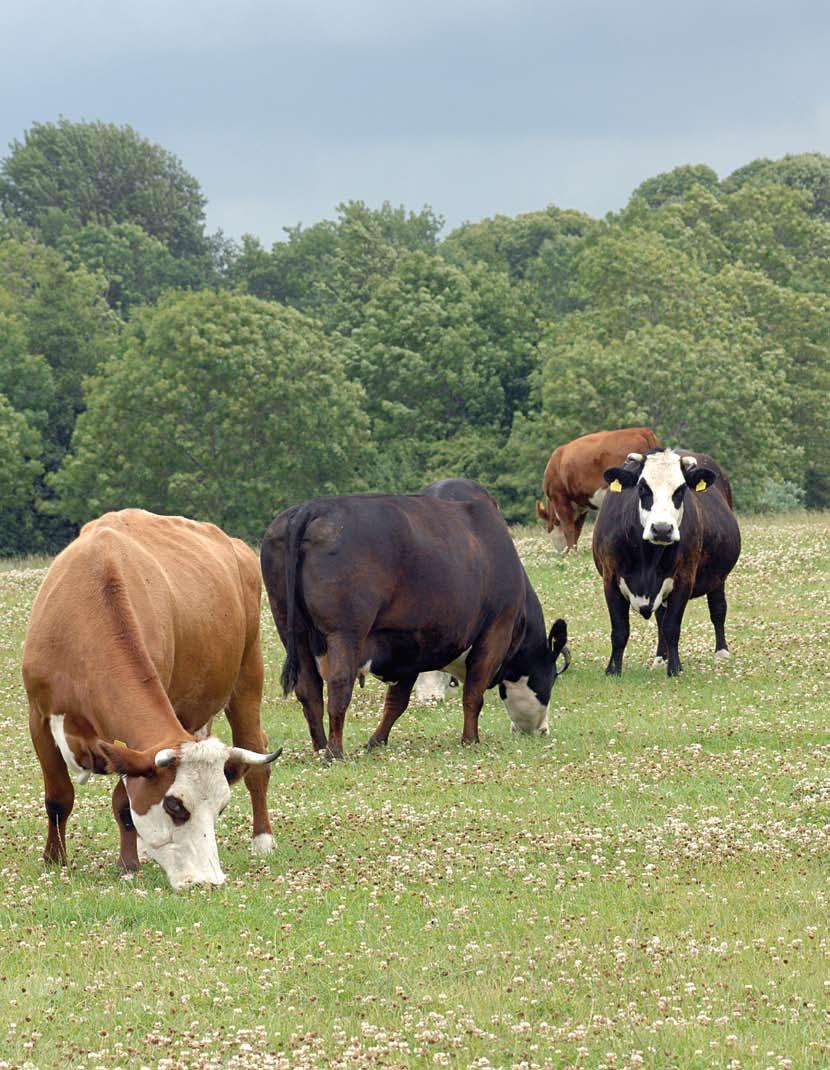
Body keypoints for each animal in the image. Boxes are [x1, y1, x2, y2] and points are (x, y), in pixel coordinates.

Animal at [21, 507, 282, 885]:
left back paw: (263, 840)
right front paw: (54, 860)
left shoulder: (131, 745)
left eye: (221, 808)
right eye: (175, 805)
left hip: (249, 673)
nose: (210, 880)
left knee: (255, 753)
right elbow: (58, 797)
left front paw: (128, 864)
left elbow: (123, 803)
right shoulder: (38, 717)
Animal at [594, 449, 744, 676]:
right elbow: (620, 630)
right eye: (642, 488)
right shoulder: (610, 579)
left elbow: (672, 627)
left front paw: (675, 668)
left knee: (718, 609)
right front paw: (613, 669)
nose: (662, 529)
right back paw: (660, 656)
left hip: (718, 578)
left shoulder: (684, 579)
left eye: (680, 490)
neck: (647, 557)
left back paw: (721, 652)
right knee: (660, 617)